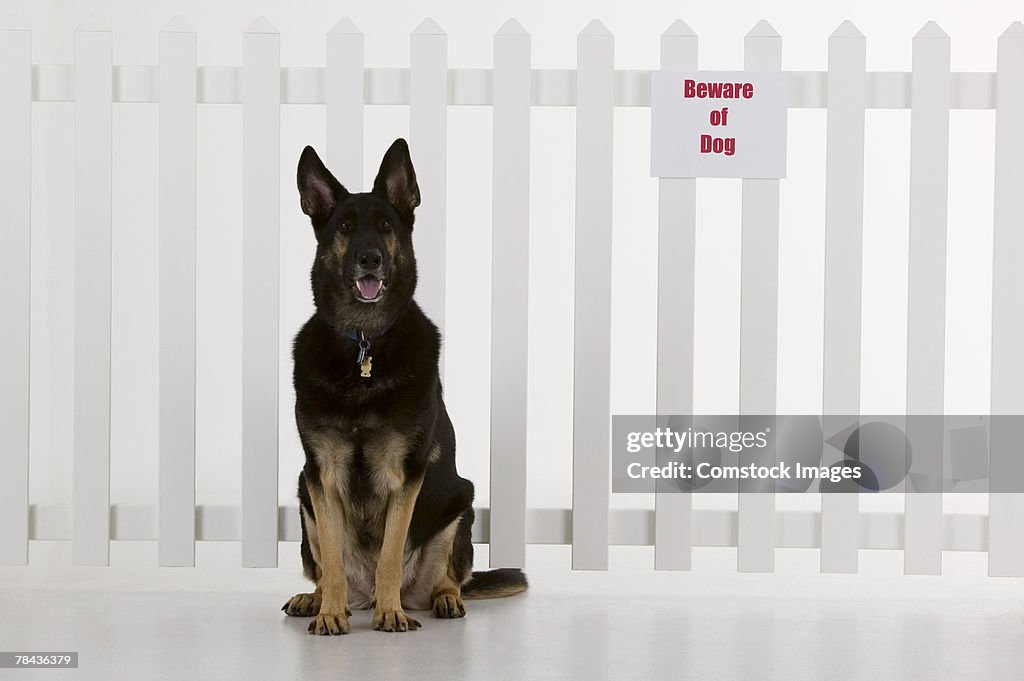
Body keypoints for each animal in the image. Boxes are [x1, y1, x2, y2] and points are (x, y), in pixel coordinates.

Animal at [284, 140, 524, 634]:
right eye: (345, 228)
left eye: (384, 226)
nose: (370, 258)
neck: (364, 344)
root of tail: (362, 594)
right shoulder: (320, 475)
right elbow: (332, 559)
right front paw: (330, 613)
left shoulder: (407, 475)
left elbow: (391, 553)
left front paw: (390, 613)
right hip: (303, 495)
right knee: (328, 570)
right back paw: (318, 600)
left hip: (460, 504)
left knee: (446, 579)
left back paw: (438, 600)